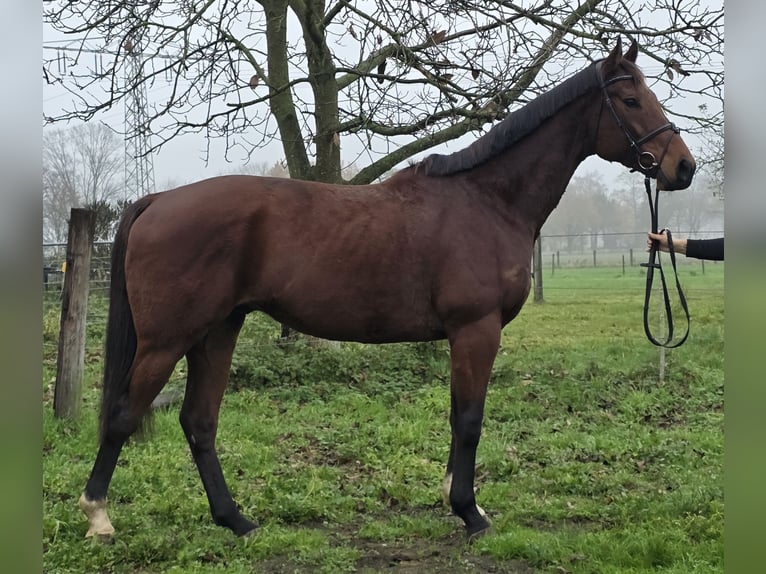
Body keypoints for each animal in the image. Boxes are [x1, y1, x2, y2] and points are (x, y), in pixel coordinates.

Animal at [79, 39, 695, 541]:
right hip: (167, 340)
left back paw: (236, 520)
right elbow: (469, 419)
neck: (486, 201)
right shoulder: (476, 330)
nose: (683, 168)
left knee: (199, 422)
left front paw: (457, 500)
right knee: (124, 414)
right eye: (631, 100)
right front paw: (469, 512)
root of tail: (159, 200)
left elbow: (458, 414)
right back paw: (99, 516)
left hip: (216, 332)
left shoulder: (463, 337)